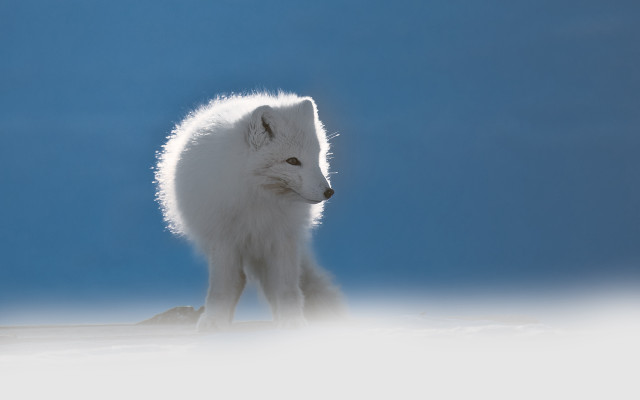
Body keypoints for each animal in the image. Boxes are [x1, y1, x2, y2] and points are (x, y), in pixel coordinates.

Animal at [155, 92, 344, 330]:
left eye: (317, 157)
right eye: (292, 161)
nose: (329, 192)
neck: (259, 198)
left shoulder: (283, 237)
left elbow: (286, 287)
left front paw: (292, 321)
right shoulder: (224, 238)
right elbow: (223, 288)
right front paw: (214, 320)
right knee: (238, 280)